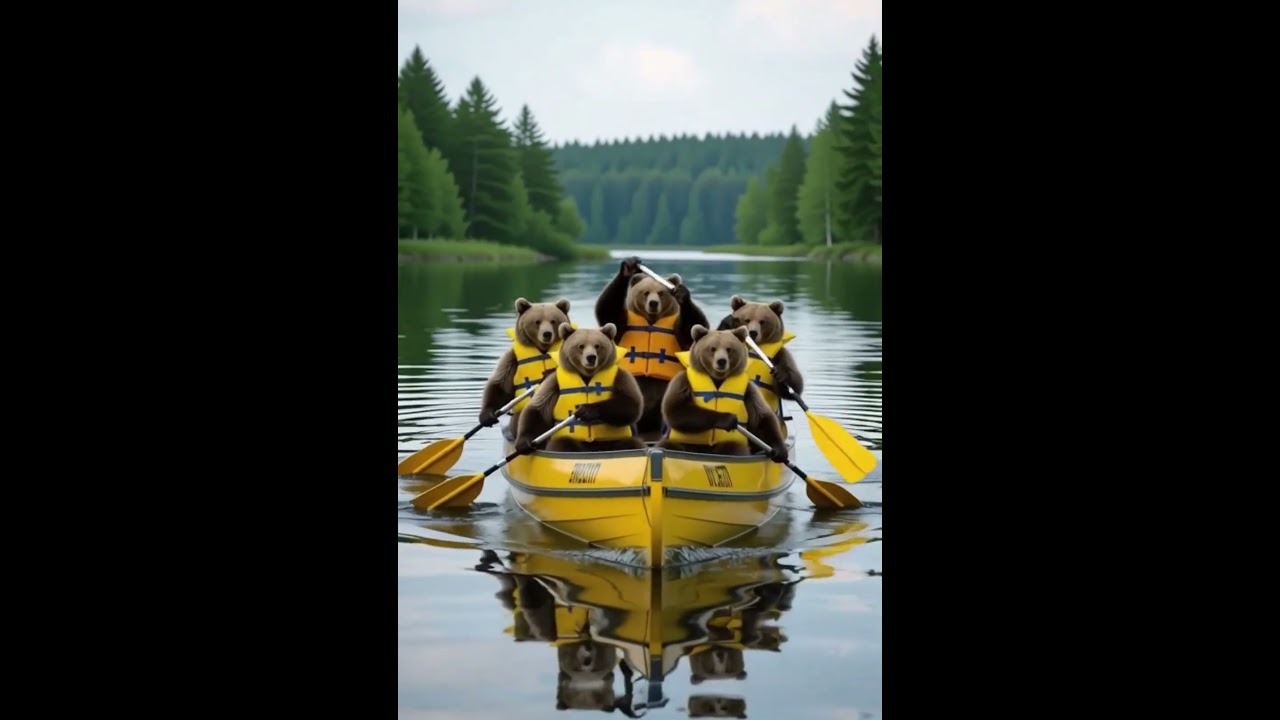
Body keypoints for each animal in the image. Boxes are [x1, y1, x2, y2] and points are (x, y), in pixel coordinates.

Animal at [479, 297, 573, 430]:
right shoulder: (512, 358)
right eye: (537, 321)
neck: (543, 349)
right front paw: (487, 415)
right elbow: (500, 383)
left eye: (553, 321)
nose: (547, 334)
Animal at [514, 323, 646, 455]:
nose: (591, 357)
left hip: (613, 441)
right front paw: (524, 443)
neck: (587, 376)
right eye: (581, 346)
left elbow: (631, 404)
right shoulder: (553, 383)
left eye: (597, 346)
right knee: (562, 444)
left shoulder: (621, 377)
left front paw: (586, 410)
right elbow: (537, 409)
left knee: (632, 444)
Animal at [595, 255, 709, 436]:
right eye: (646, 292)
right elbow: (608, 308)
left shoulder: (678, 329)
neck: (651, 320)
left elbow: (693, 327)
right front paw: (629, 267)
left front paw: (682, 294)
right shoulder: (623, 322)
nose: (653, 303)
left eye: (661, 293)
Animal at [657, 325, 788, 461]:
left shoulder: (750, 390)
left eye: (729, 349)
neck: (717, 379)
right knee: (669, 444)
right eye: (712, 348)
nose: (721, 361)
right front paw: (729, 419)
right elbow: (676, 409)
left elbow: (762, 417)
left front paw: (780, 451)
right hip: (686, 443)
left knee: (734, 449)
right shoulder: (683, 382)